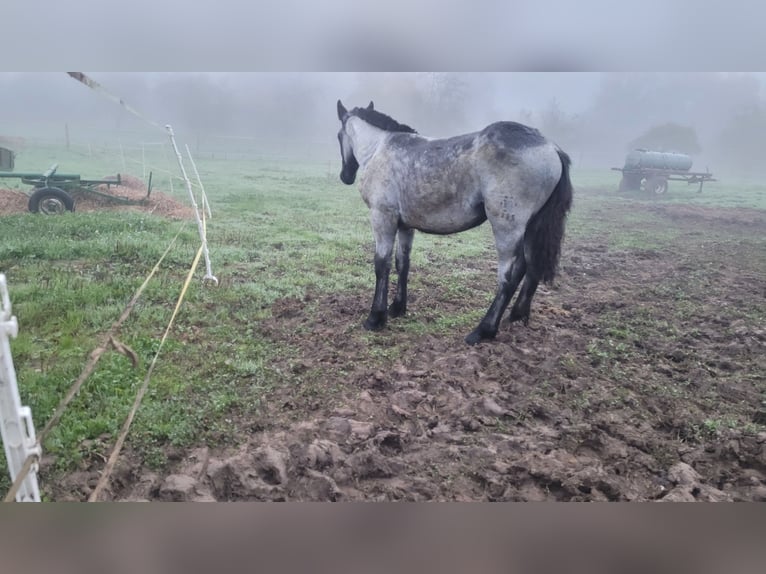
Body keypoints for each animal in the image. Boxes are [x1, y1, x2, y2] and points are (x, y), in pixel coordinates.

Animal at [338, 100, 576, 346]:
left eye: (338, 136)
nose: (345, 176)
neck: (380, 149)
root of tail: (552, 148)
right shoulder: (405, 225)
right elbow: (402, 263)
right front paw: (397, 308)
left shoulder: (382, 217)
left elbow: (381, 264)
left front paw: (376, 317)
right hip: (532, 227)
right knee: (530, 268)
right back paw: (517, 316)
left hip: (507, 229)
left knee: (509, 277)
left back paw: (483, 330)